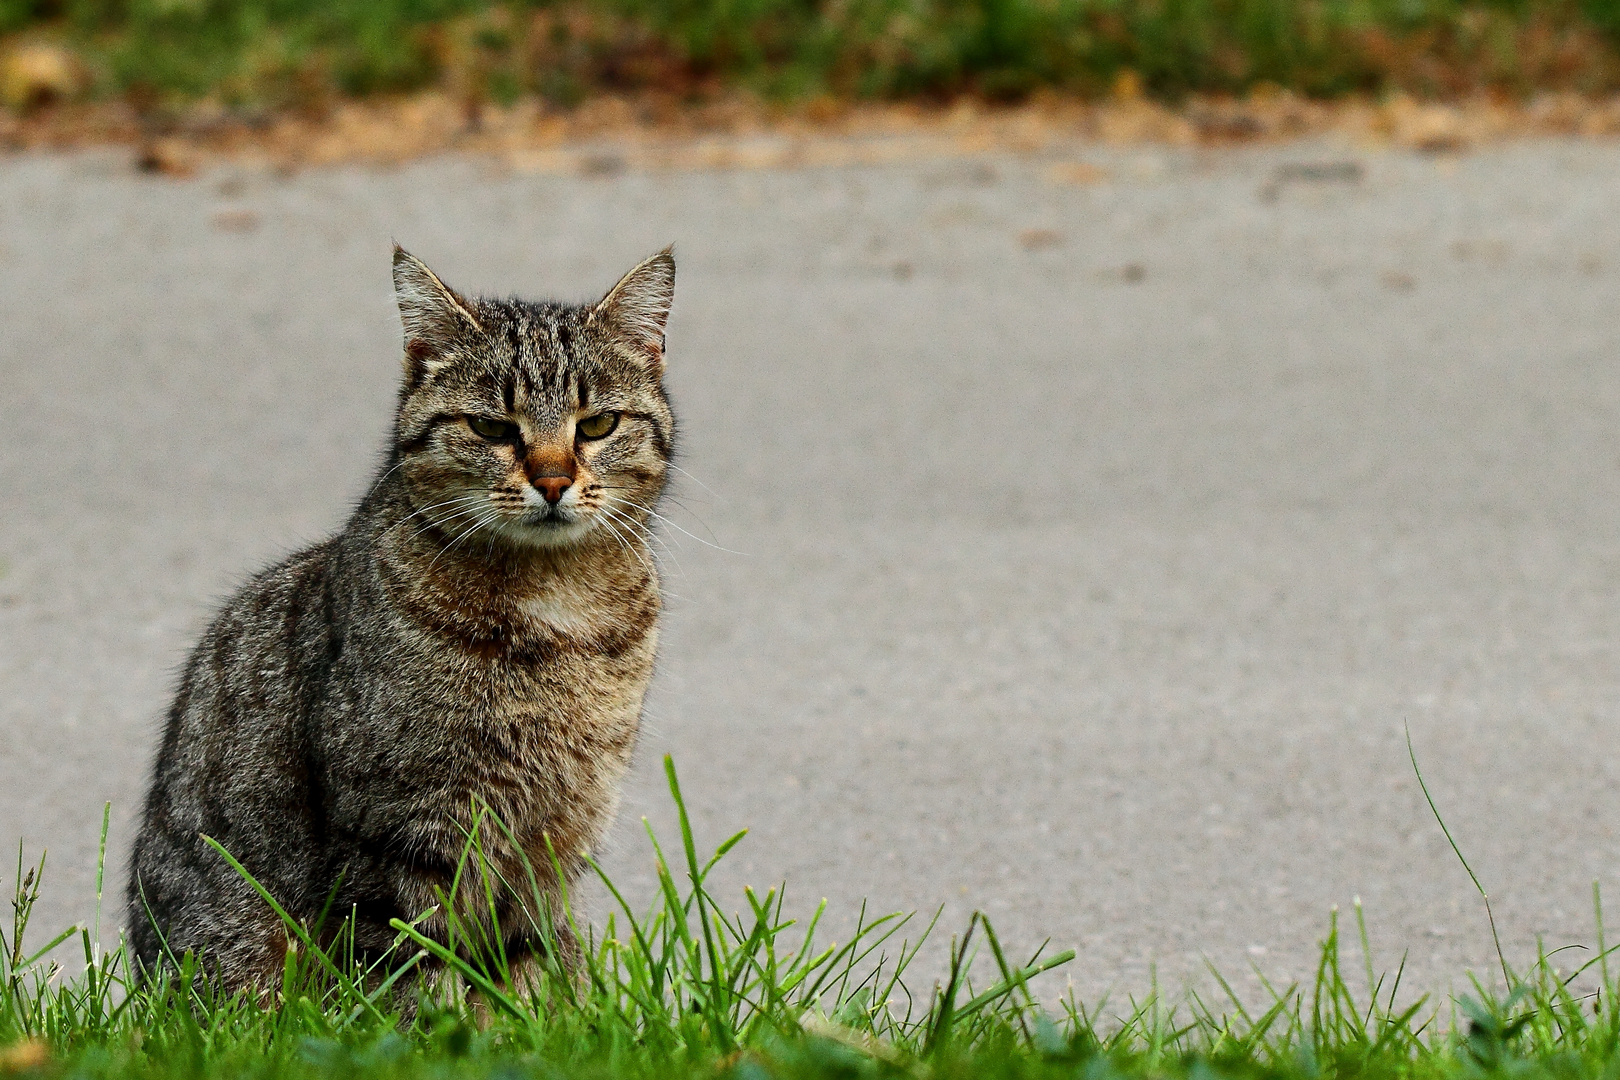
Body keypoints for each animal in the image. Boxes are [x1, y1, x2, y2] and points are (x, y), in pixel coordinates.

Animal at [126, 242, 677, 997]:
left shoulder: (552, 840)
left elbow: (524, 973)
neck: (555, 604)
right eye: (491, 428)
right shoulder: (399, 832)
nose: (554, 481)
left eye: (596, 425)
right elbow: (414, 975)